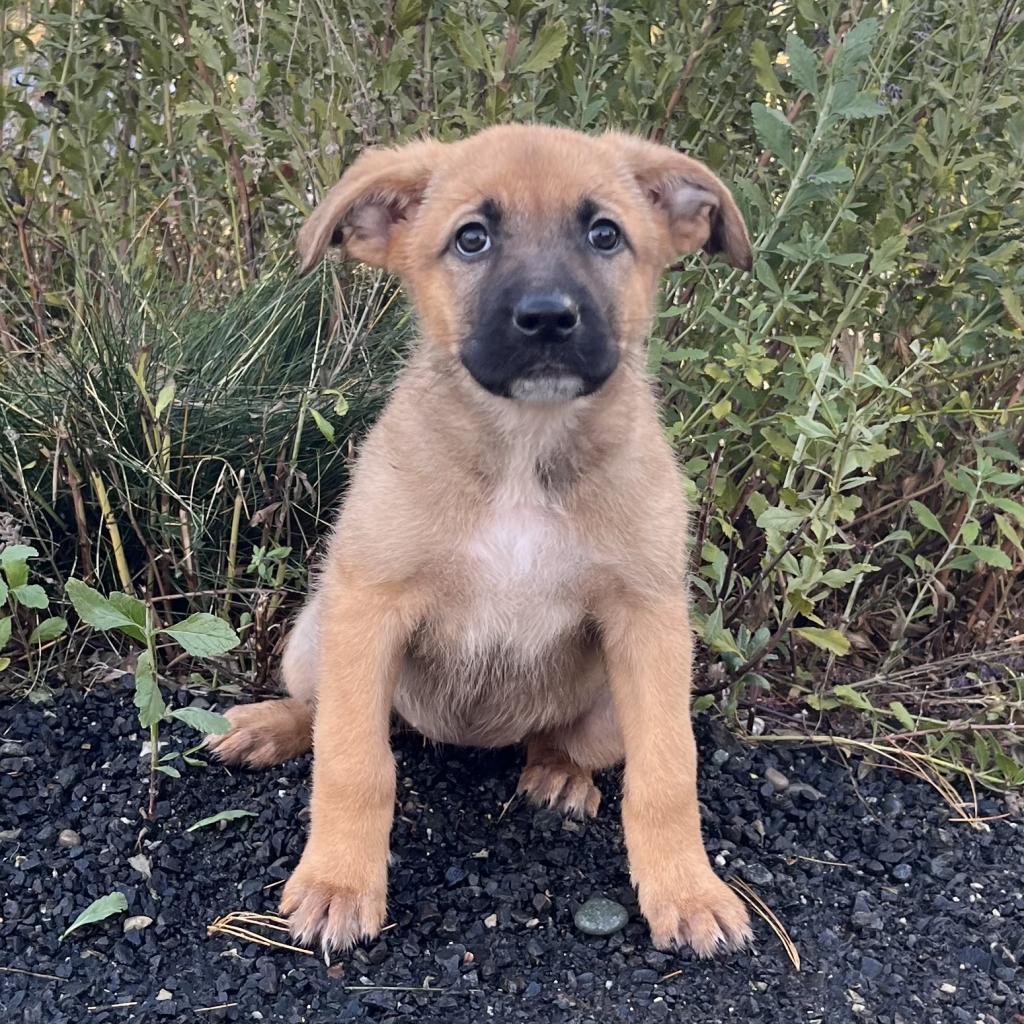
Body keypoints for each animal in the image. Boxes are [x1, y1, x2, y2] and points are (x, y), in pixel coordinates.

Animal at [205, 125, 753, 958]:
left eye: (605, 234)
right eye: (472, 238)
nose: (548, 318)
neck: (524, 446)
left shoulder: (650, 620)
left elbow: (668, 773)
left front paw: (688, 892)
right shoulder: (369, 606)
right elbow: (353, 760)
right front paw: (339, 884)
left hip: (612, 701)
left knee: (565, 743)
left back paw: (558, 774)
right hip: (314, 633)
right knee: (332, 713)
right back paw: (268, 727)